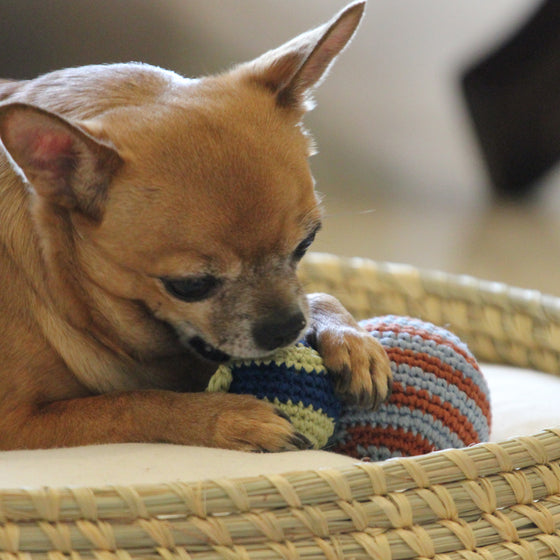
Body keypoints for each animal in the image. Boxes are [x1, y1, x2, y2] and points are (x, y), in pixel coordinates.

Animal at [0, 1, 391, 451]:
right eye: (189, 286)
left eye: (306, 244)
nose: (285, 327)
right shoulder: (15, 422)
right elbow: (133, 401)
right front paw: (228, 417)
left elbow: (318, 294)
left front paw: (352, 340)